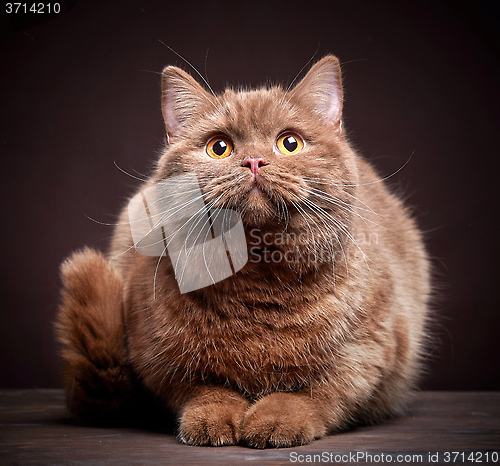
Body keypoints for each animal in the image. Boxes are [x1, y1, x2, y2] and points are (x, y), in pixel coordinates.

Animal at [53, 54, 430, 448]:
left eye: (290, 143)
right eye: (219, 147)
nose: (253, 161)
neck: (260, 279)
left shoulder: (367, 350)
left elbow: (316, 394)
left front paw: (278, 420)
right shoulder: (158, 358)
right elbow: (205, 389)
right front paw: (212, 419)